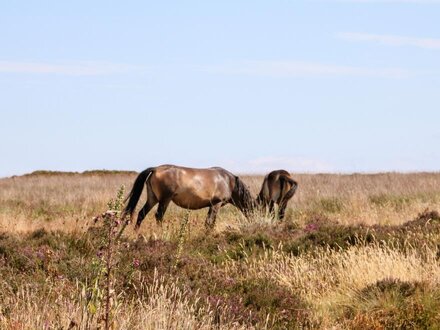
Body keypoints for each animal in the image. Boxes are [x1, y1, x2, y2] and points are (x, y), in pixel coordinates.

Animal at [123, 165, 254, 229]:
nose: (254, 222)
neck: (228, 181)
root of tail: (155, 169)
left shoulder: (212, 205)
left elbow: (209, 222)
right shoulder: (216, 204)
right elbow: (210, 223)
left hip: (153, 198)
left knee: (141, 214)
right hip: (165, 200)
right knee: (159, 216)